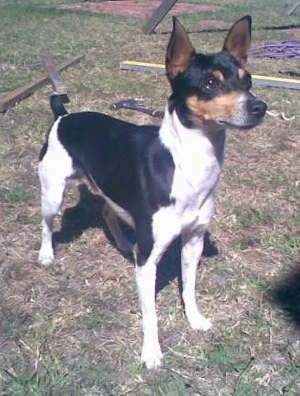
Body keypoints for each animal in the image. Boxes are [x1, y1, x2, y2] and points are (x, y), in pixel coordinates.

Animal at [38, 15, 268, 368]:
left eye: (248, 80)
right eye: (210, 84)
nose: (260, 107)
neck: (187, 165)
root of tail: (62, 115)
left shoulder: (193, 240)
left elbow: (188, 287)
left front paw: (195, 319)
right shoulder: (148, 260)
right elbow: (151, 314)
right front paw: (151, 352)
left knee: (107, 210)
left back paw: (123, 243)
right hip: (53, 193)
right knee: (47, 223)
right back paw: (46, 254)